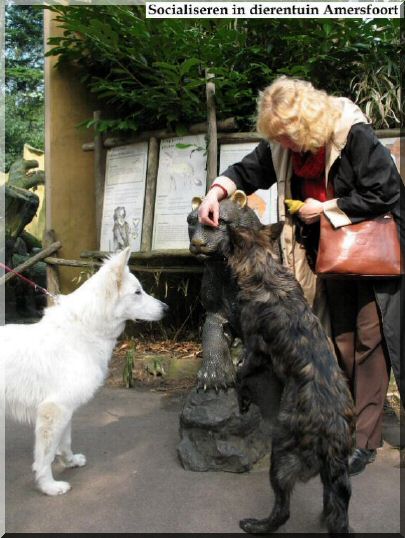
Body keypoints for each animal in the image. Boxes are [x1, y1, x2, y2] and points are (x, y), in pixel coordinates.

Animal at [1, 247, 167, 494]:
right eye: (138, 292)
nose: (167, 309)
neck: (83, 331)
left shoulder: (66, 410)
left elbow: (65, 443)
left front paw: (69, 462)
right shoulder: (55, 410)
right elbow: (45, 457)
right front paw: (49, 486)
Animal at [226, 222, 356, 532]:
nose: (225, 223)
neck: (265, 271)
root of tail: (334, 431)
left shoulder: (256, 351)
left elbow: (240, 373)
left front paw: (242, 399)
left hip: (281, 456)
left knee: (282, 510)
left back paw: (257, 525)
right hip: (329, 476)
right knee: (333, 505)